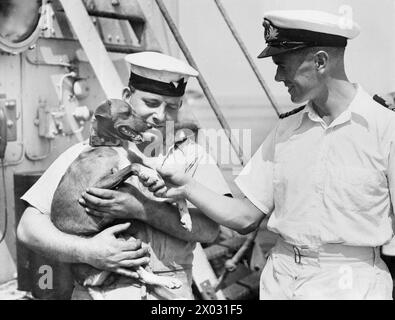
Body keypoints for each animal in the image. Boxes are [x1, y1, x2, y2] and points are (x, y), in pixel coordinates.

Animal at [51, 99, 196, 298]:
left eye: (135, 110)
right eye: (126, 112)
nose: (150, 125)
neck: (111, 147)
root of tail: (86, 282)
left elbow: (177, 195)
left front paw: (186, 218)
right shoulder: (94, 187)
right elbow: (134, 166)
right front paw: (148, 172)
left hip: (132, 243)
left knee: (142, 274)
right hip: (122, 244)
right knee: (142, 274)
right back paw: (168, 281)